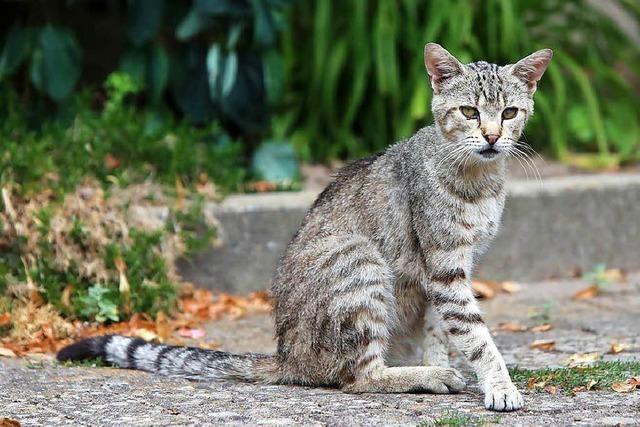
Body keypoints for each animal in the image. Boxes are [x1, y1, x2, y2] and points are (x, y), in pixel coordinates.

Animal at [57, 42, 552, 412]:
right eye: (469, 112)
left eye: (509, 113)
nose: (492, 137)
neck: (479, 180)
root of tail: (285, 357)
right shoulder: (446, 265)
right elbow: (475, 334)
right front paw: (499, 385)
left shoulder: (445, 273)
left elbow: (442, 331)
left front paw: (459, 366)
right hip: (360, 261)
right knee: (358, 377)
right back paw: (424, 376)